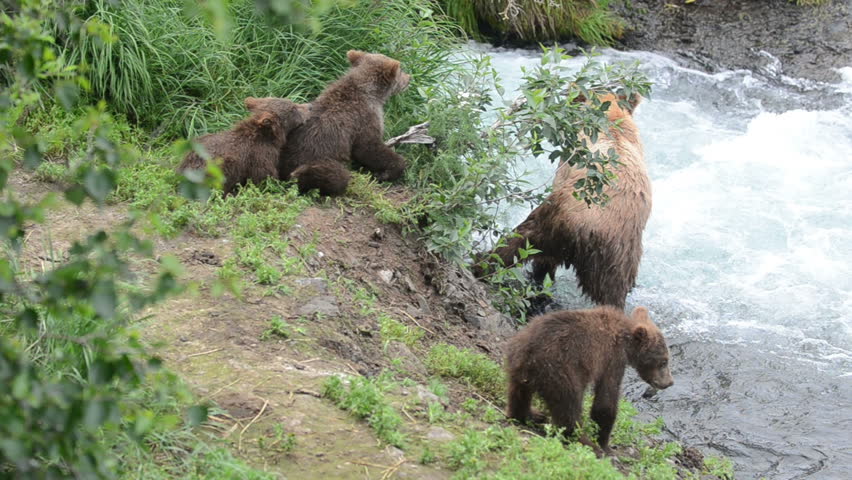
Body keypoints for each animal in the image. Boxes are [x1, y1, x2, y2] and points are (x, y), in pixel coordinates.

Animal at [278, 50, 411, 196]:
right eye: (401, 70)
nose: (409, 78)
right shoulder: (363, 120)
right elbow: (368, 147)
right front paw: (386, 172)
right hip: (317, 158)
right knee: (336, 176)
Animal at [475, 93, 650, 310]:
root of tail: (587, 230)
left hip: (553, 218)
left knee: (519, 244)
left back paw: (481, 264)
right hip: (619, 258)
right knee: (612, 294)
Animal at [505, 305, 673, 454]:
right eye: (664, 361)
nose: (670, 382)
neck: (627, 343)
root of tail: (530, 354)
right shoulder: (612, 358)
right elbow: (606, 400)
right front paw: (605, 445)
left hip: (518, 365)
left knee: (518, 394)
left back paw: (529, 414)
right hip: (561, 371)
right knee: (569, 405)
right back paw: (585, 442)